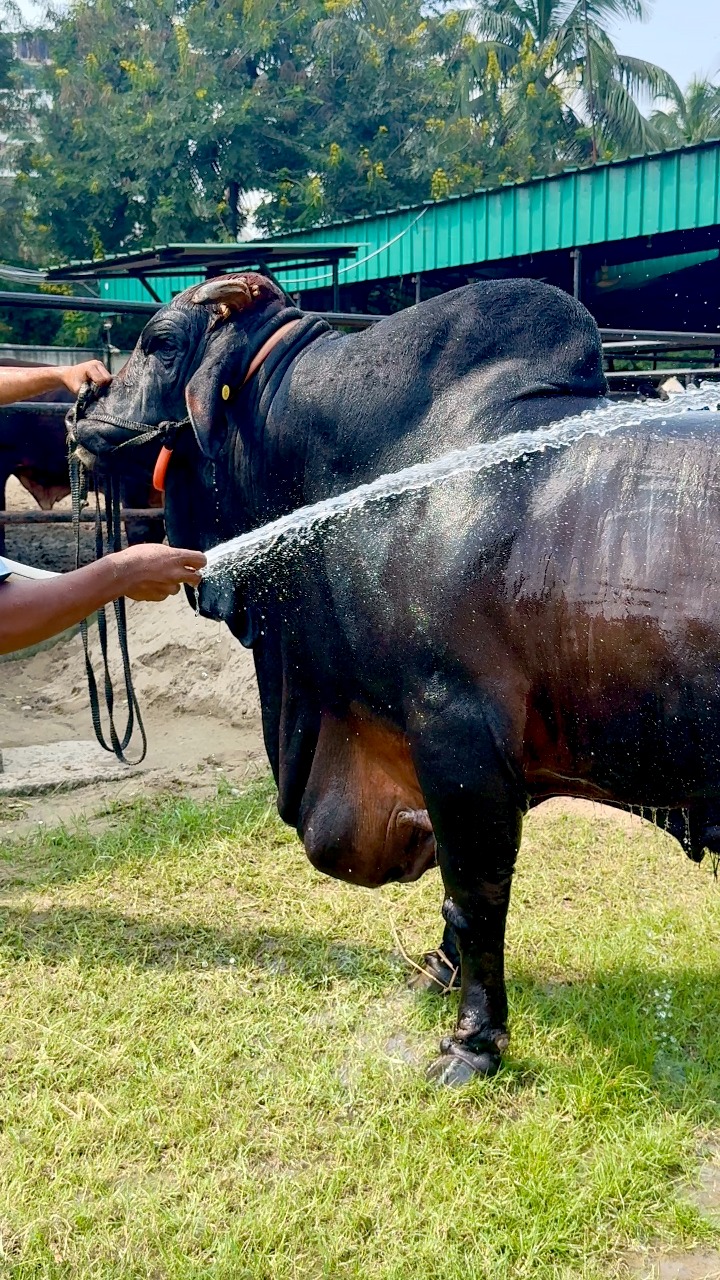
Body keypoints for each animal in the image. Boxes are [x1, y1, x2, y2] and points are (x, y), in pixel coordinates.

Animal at [70, 273, 720, 1084]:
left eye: (157, 341)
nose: (79, 406)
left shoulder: (458, 734)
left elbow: (474, 896)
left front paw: (473, 1044)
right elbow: (454, 893)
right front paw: (440, 975)